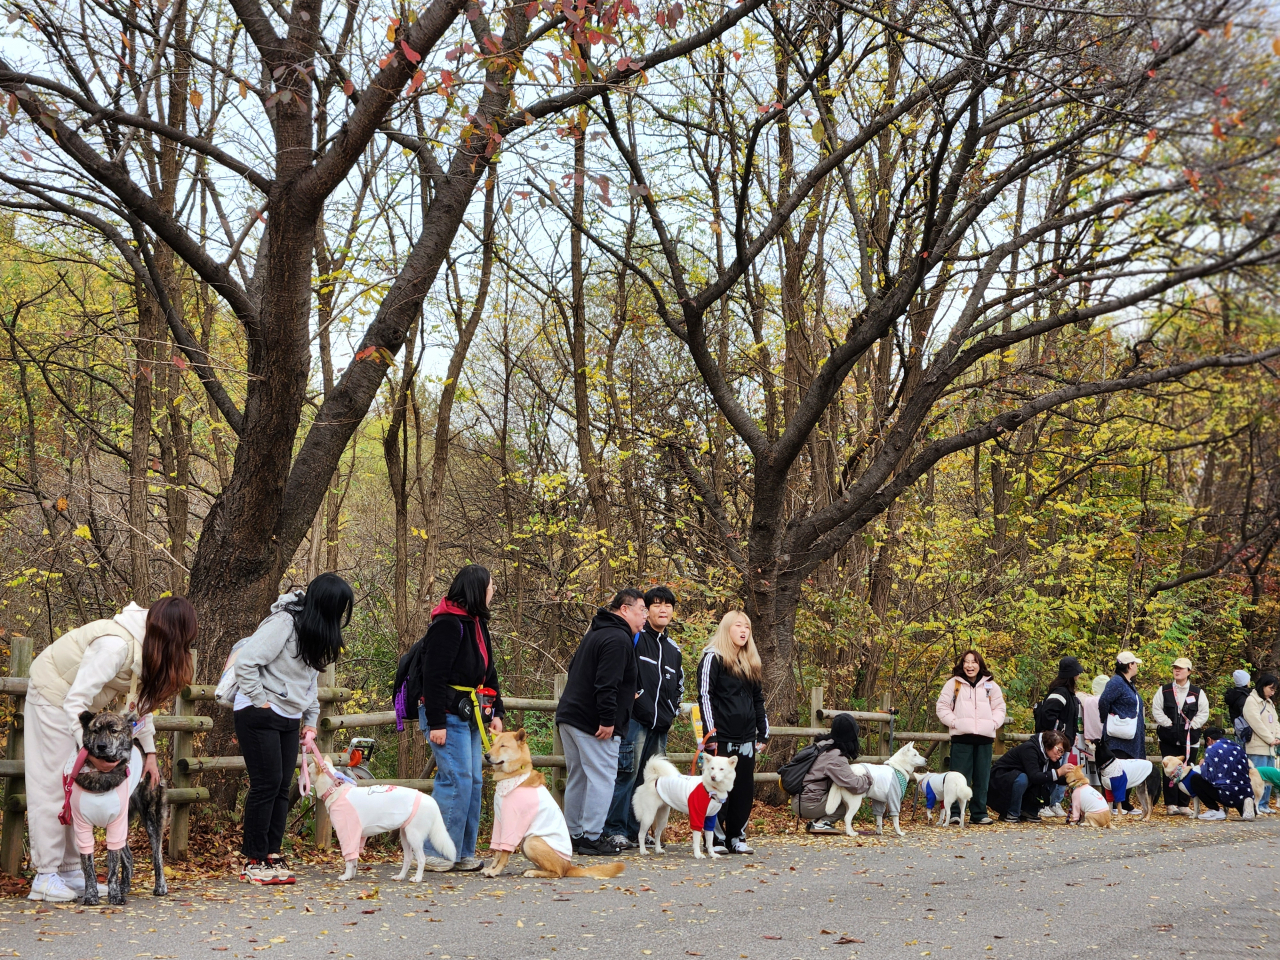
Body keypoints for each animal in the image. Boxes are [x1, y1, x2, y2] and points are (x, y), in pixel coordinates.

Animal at [75, 711, 167, 906]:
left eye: (113, 731)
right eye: (95, 731)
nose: (101, 746)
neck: (102, 775)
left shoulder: (115, 826)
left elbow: (112, 869)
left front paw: (115, 895)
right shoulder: (83, 828)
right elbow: (88, 869)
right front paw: (91, 895)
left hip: (152, 819)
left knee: (157, 855)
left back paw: (160, 886)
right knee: (129, 857)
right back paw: (125, 885)